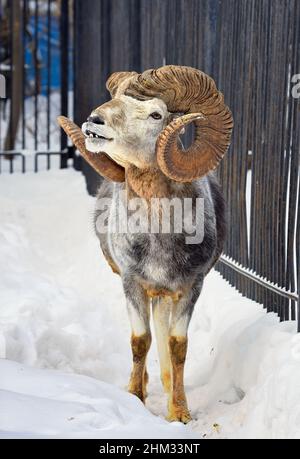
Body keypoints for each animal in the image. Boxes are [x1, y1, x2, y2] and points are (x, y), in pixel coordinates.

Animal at [57, 64, 233, 424]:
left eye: (155, 114)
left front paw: (179, 412)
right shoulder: (132, 283)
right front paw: (135, 397)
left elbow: (177, 345)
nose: (94, 121)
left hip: (164, 298)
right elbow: (141, 341)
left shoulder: (189, 288)